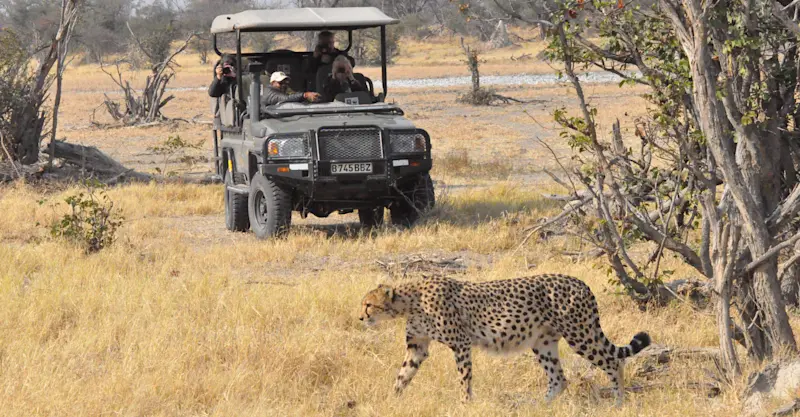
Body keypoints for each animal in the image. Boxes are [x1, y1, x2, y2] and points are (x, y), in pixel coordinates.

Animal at [358, 274, 651, 404]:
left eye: (368, 305)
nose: (361, 318)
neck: (410, 301)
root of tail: (580, 282)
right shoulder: (417, 347)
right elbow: (402, 375)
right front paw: (390, 400)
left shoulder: (461, 343)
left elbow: (464, 378)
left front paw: (465, 404)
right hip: (542, 343)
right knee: (559, 378)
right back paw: (539, 406)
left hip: (580, 335)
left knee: (613, 362)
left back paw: (619, 402)